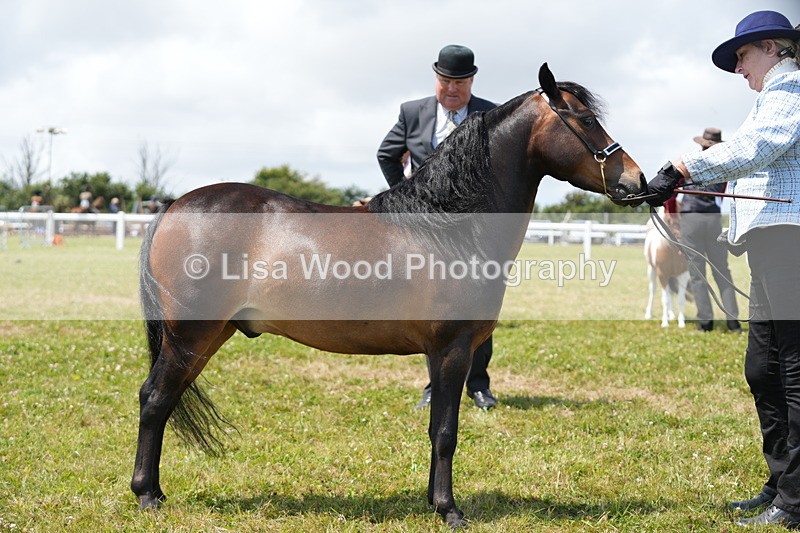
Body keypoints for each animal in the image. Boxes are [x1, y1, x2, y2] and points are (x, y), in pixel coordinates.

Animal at [131, 63, 645, 528]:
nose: (636, 182)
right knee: (155, 398)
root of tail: (173, 206)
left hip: (208, 336)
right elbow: (446, 431)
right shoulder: (452, 350)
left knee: (165, 400)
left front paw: (433, 501)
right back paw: (147, 496)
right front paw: (449, 510)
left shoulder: (441, 354)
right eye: (585, 120)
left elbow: (436, 426)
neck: (450, 227)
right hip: (191, 335)